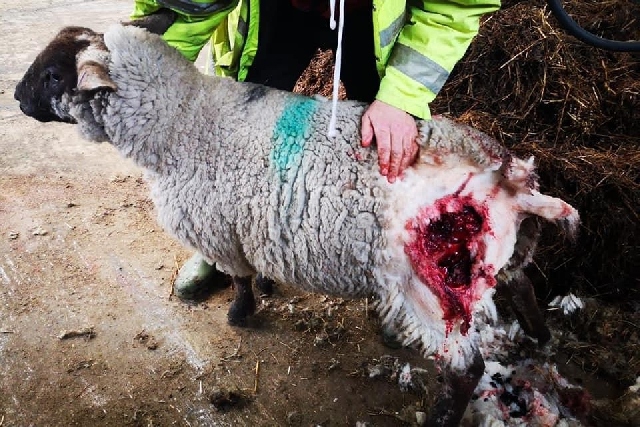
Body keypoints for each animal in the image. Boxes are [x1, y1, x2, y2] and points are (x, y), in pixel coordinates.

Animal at [13, 24, 580, 427]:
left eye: (54, 76)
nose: (16, 98)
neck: (183, 119)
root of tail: (510, 177)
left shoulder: (219, 228)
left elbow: (238, 277)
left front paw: (241, 313)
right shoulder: (255, 224)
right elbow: (256, 267)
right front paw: (265, 288)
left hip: (431, 284)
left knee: (466, 370)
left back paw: (442, 416)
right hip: (501, 257)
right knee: (523, 285)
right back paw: (540, 337)